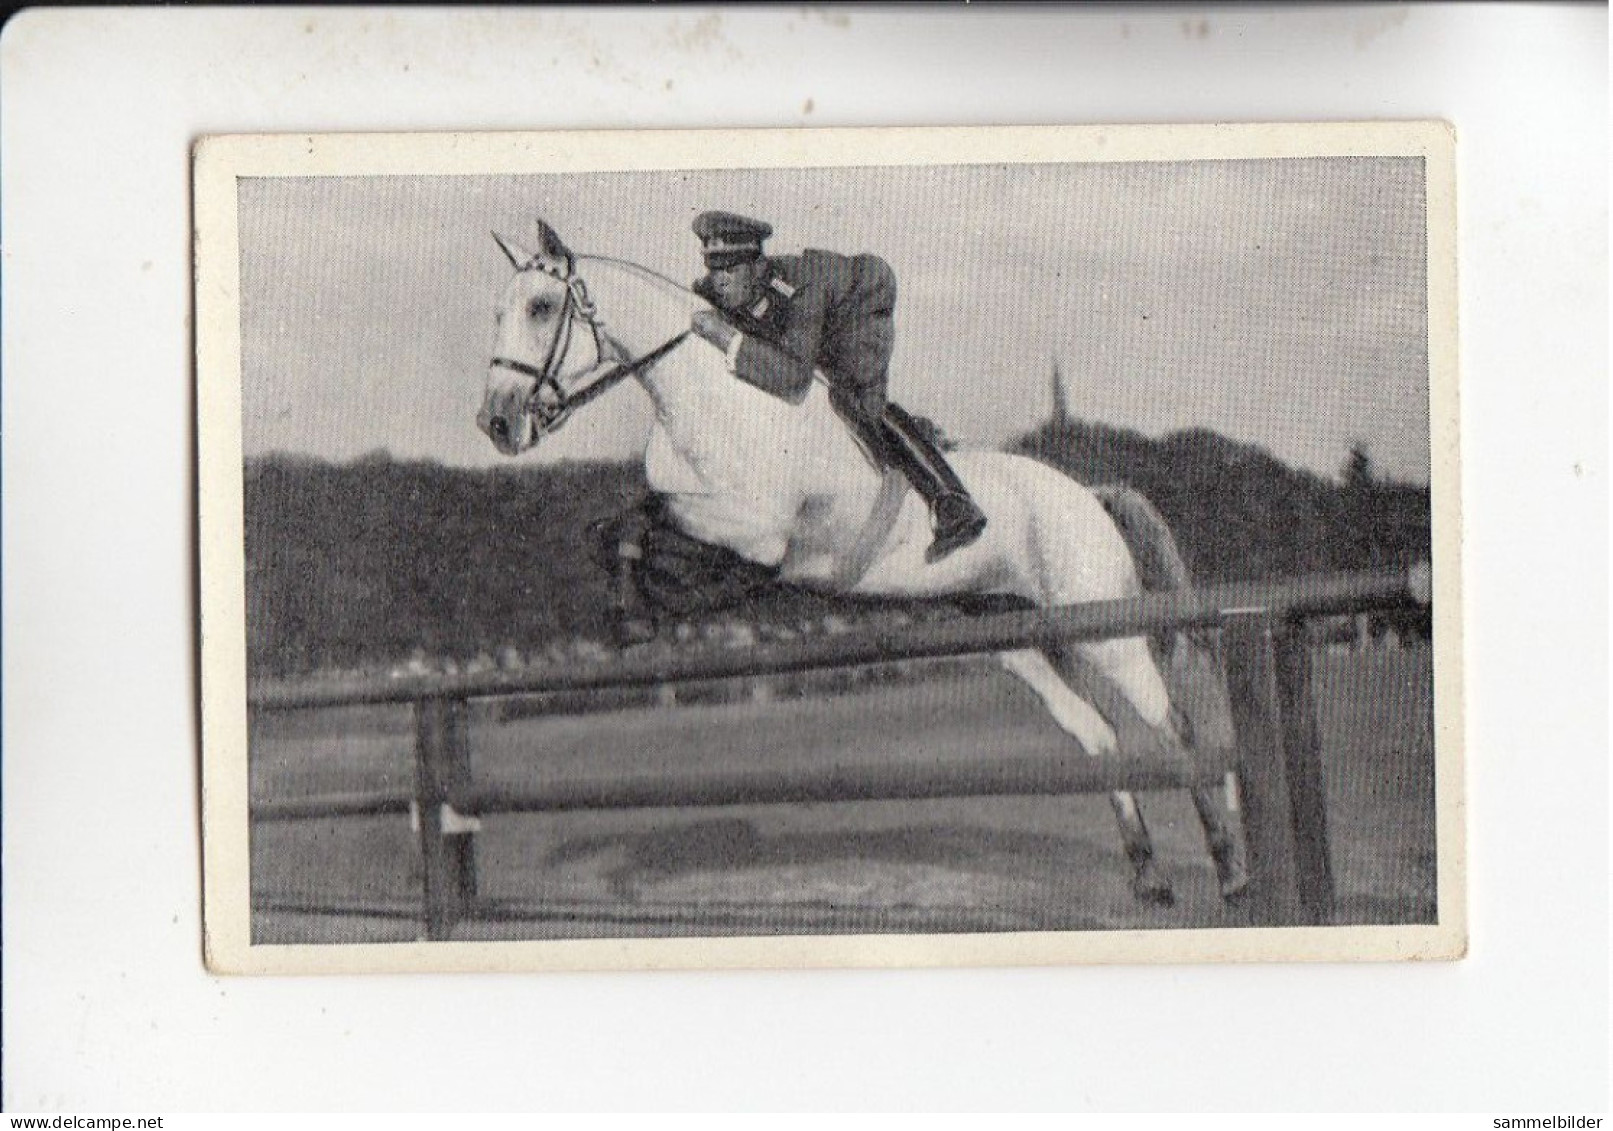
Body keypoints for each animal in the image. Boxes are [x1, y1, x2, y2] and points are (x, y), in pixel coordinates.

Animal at [477, 221, 1245, 903]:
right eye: (498, 312)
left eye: (541, 307)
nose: (497, 423)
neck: (713, 402)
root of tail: (1089, 493)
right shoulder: (715, 521)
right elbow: (621, 524)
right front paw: (635, 611)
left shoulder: (759, 530)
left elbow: (669, 530)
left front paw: (666, 601)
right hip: (1024, 637)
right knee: (1100, 735)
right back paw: (1148, 876)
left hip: (1104, 626)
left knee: (1174, 728)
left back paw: (1231, 868)